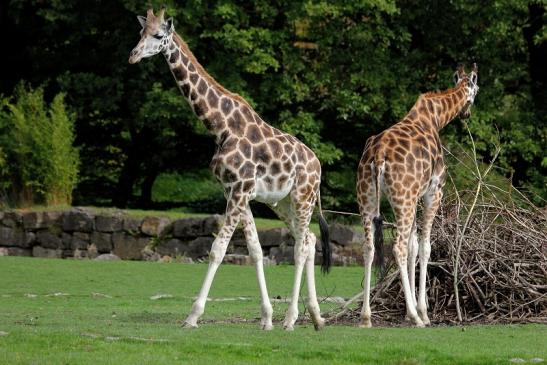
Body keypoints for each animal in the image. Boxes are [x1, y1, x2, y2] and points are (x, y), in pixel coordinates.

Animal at [130, 7, 332, 330]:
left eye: (159, 35)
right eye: (140, 32)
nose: (133, 56)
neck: (220, 127)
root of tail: (318, 167)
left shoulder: (238, 191)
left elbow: (217, 250)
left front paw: (193, 316)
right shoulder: (236, 191)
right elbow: (255, 251)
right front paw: (266, 318)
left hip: (303, 196)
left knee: (301, 246)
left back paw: (291, 319)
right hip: (282, 202)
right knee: (310, 240)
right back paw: (315, 317)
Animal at [356, 63, 480, 328]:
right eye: (476, 88)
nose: (467, 114)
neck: (436, 117)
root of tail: (378, 156)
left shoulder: (414, 197)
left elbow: (414, 246)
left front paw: (407, 310)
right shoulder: (433, 191)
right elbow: (424, 247)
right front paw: (422, 311)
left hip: (369, 198)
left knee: (369, 247)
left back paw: (366, 317)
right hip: (403, 198)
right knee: (398, 248)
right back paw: (416, 317)